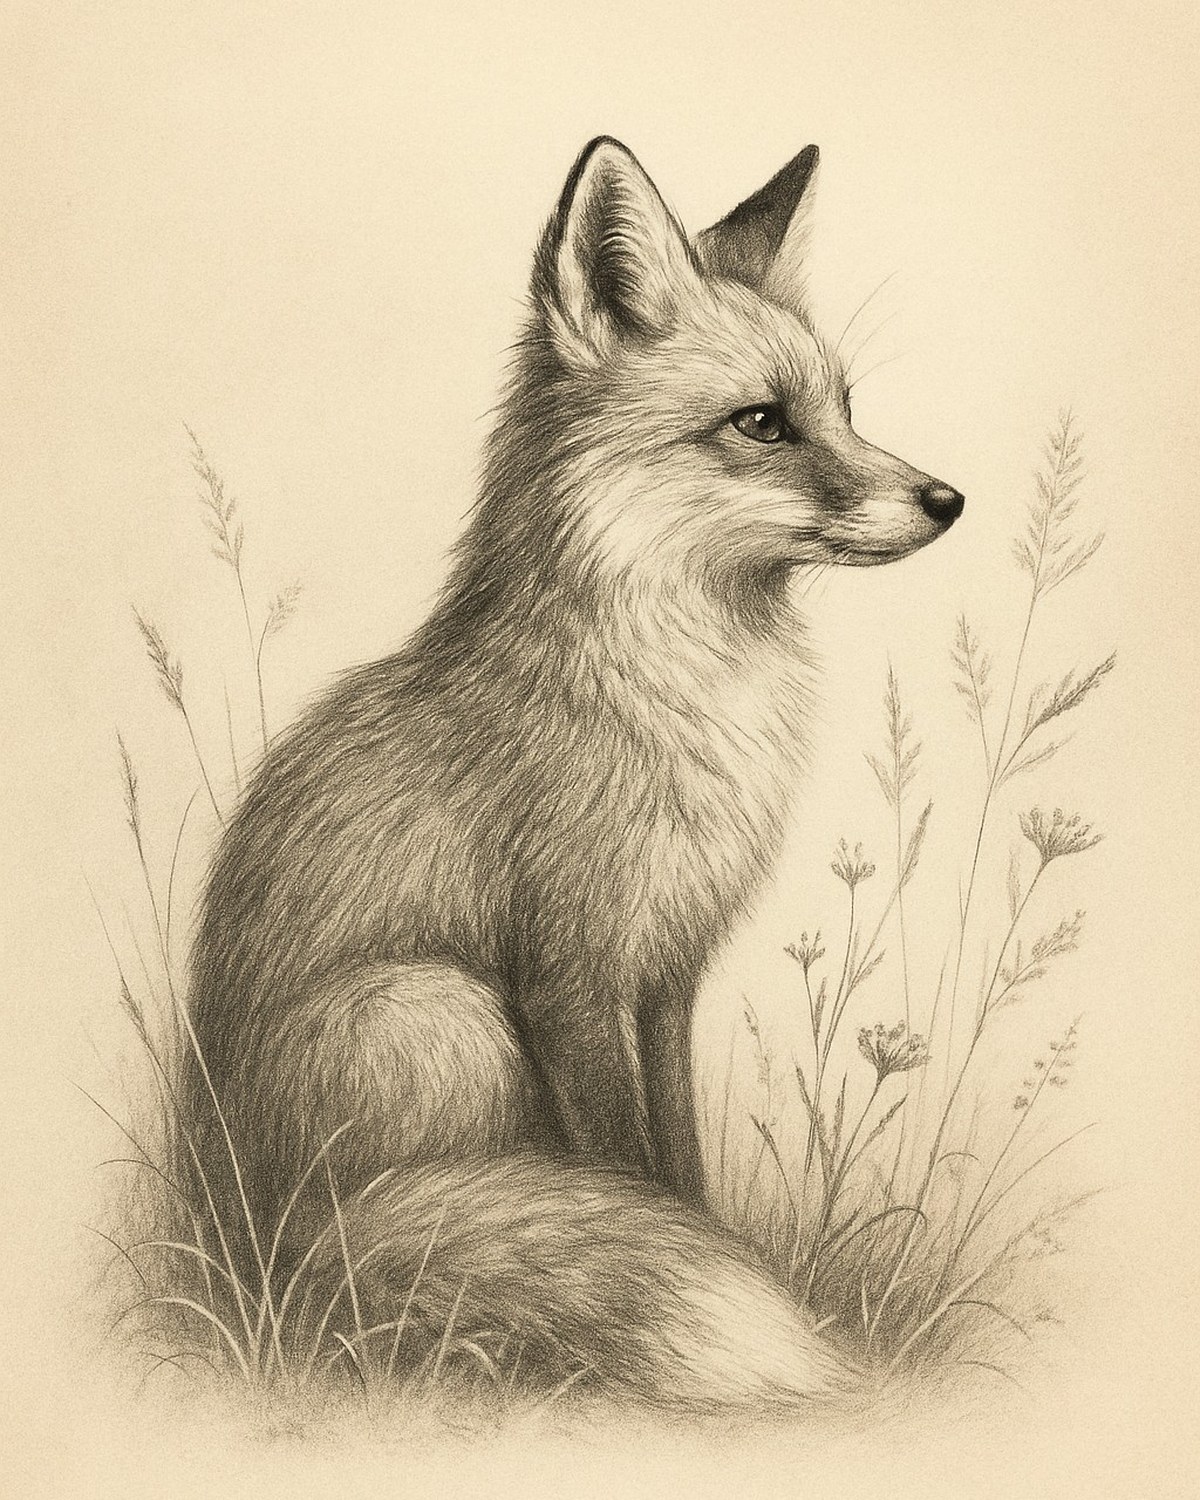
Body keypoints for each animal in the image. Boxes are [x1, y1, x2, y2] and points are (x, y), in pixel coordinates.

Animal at [188, 136, 964, 1410]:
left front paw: (715, 1248)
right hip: (441, 1011)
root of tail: (231, 1233)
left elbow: (677, 1166)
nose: (948, 499)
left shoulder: (667, 976)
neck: (676, 705)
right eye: (763, 422)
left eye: (847, 408)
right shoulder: (569, 975)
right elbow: (623, 1166)